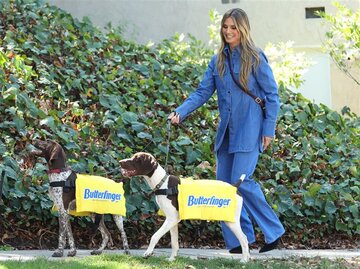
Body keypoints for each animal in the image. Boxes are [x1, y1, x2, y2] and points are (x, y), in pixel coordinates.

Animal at [119, 152, 249, 260]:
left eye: (136, 159)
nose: (120, 162)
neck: (162, 183)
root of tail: (234, 187)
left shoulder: (172, 219)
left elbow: (155, 236)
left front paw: (148, 252)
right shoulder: (173, 220)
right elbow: (174, 242)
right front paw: (172, 259)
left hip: (231, 221)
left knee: (244, 239)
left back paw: (244, 260)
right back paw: (247, 259)